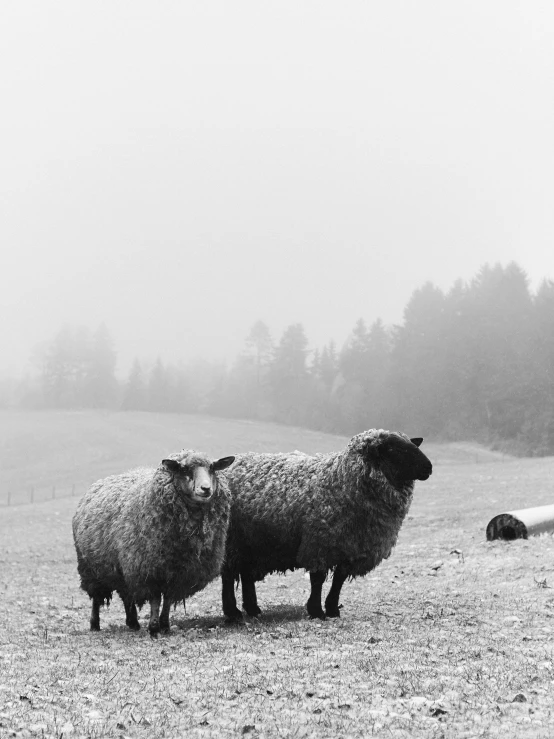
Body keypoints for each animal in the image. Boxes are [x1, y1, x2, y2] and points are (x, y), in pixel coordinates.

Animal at [72, 450, 234, 636]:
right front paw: (154, 628)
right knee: (96, 598)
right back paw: (95, 624)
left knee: (127, 595)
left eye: (212, 468)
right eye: (184, 469)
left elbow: (168, 600)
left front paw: (165, 625)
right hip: (91, 569)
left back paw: (133, 622)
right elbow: (156, 600)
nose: (206, 489)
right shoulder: (150, 570)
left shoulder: (177, 573)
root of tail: (97, 484)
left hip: (122, 569)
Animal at [220, 430, 432, 620]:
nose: (429, 468)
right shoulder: (319, 544)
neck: (340, 479)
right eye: (393, 449)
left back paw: (253, 608)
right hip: (232, 541)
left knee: (246, 574)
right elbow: (318, 579)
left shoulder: (350, 548)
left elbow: (339, 580)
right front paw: (316, 611)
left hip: (251, 543)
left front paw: (332, 609)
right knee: (229, 575)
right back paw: (233, 612)